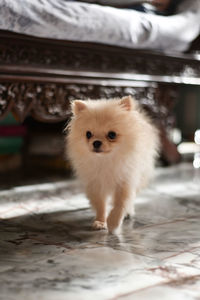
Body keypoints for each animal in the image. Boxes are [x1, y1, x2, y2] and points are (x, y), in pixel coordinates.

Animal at [66, 95, 159, 233]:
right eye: (88, 134)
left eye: (112, 135)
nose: (96, 142)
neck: (106, 160)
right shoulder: (95, 184)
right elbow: (100, 204)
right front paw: (100, 221)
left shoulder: (126, 181)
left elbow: (121, 203)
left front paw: (114, 222)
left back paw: (128, 213)